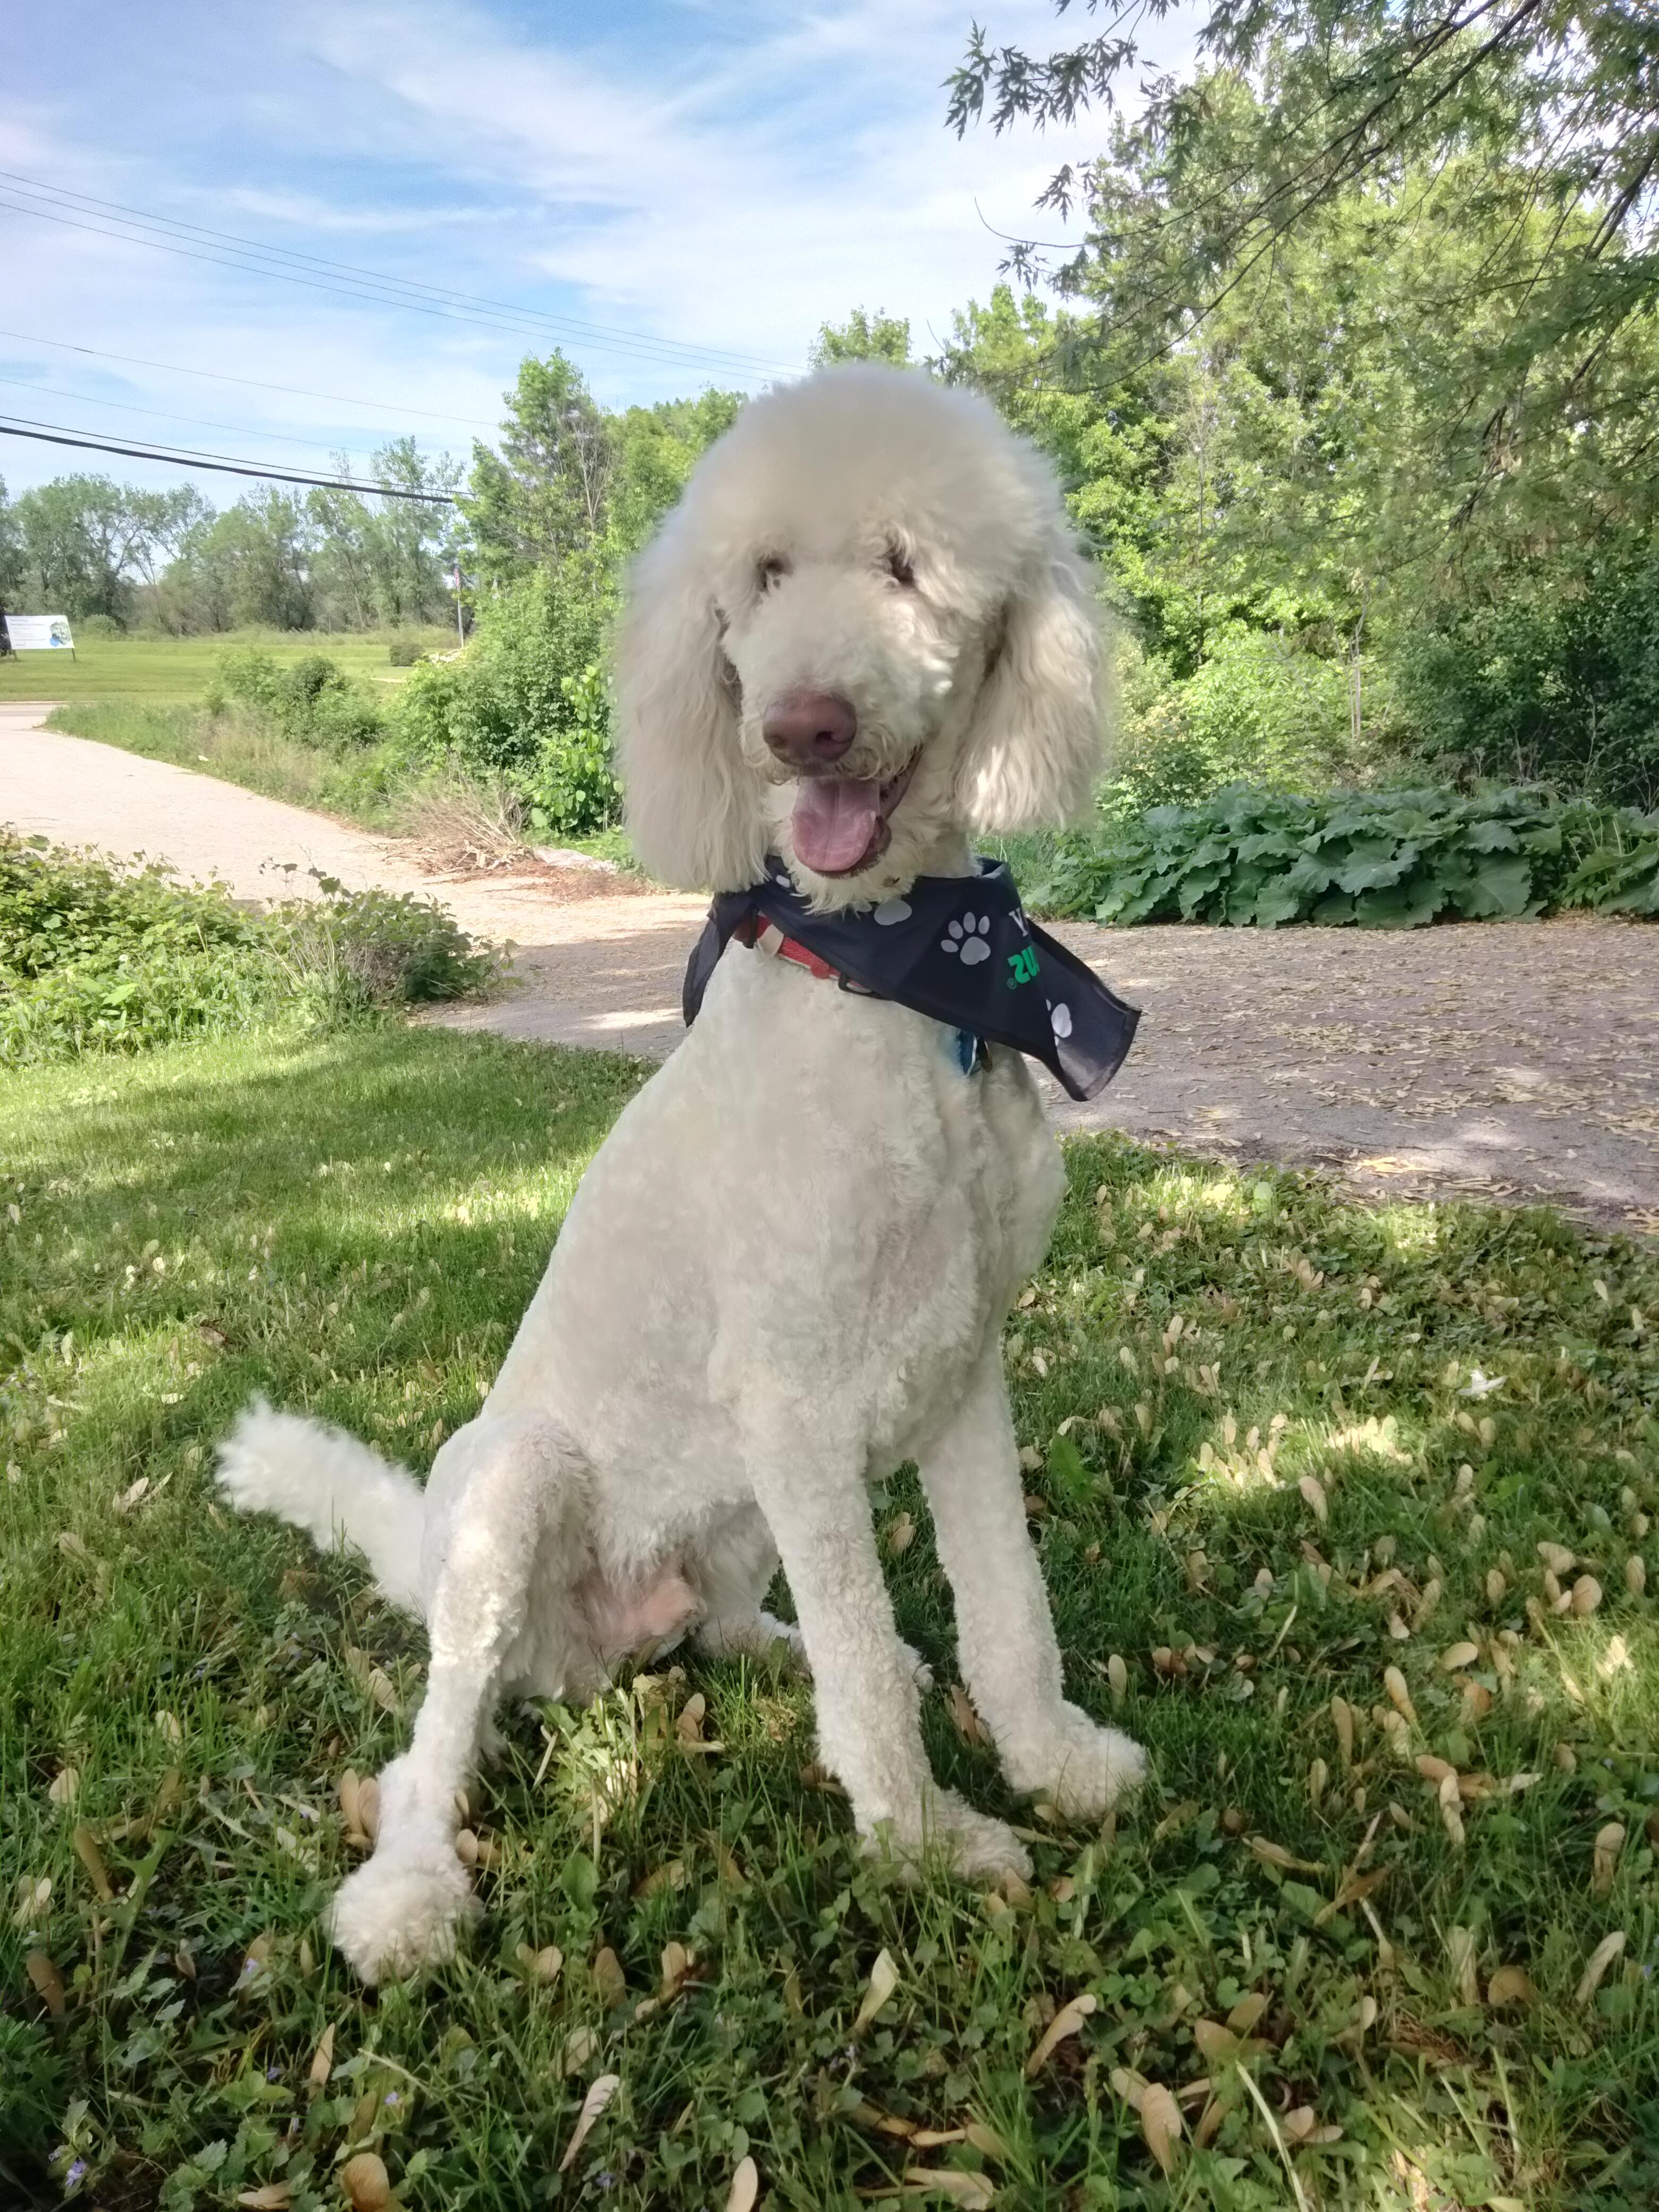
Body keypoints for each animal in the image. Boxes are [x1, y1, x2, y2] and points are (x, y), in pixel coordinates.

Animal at [219, 364, 1146, 1984]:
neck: (896, 979)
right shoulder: (798, 1397)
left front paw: (1055, 1764)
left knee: (742, 1631)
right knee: (431, 1745)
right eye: (760, 578)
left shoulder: (962, 1367)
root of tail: (586, 1647)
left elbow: (1004, 1612)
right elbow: (870, 1689)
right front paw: (928, 1850)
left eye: (907, 565)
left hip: (733, 1512)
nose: (800, 726)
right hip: (515, 1500)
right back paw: (406, 1895)